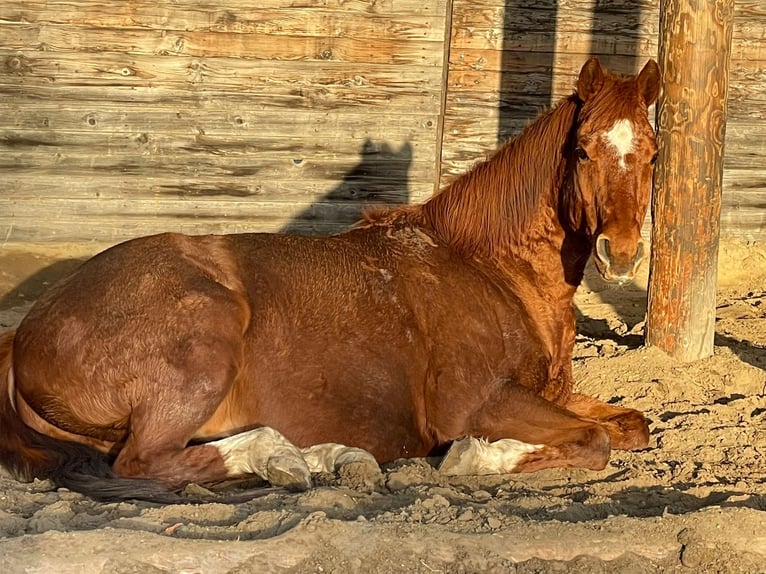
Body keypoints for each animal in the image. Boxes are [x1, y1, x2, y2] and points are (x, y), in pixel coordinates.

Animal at [0, 56, 660, 502]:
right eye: (581, 150)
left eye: (653, 154)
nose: (622, 253)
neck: (489, 269)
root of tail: (25, 333)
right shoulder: (478, 402)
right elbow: (594, 441)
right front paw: (471, 458)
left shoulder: (553, 396)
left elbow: (631, 425)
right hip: (203, 345)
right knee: (143, 463)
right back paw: (286, 460)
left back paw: (326, 459)